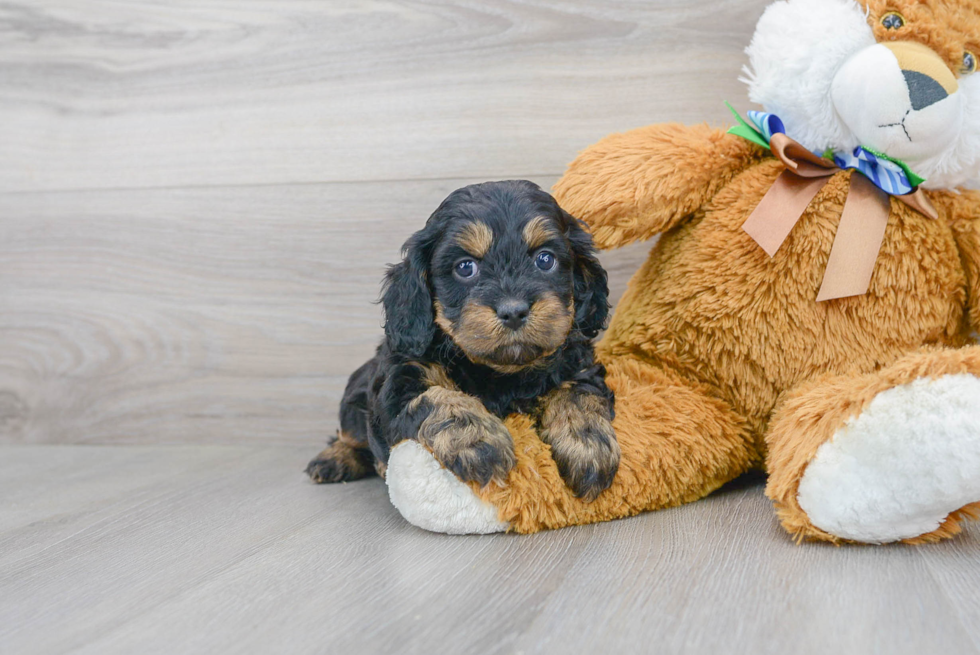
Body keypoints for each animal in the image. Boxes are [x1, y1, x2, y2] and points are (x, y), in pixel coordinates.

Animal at [306, 179, 620, 502]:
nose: (513, 311)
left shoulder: (579, 366)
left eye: (545, 260)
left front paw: (586, 443)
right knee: (348, 433)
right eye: (465, 267)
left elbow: (578, 392)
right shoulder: (400, 381)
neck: (500, 372)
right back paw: (334, 459)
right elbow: (437, 397)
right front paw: (477, 440)